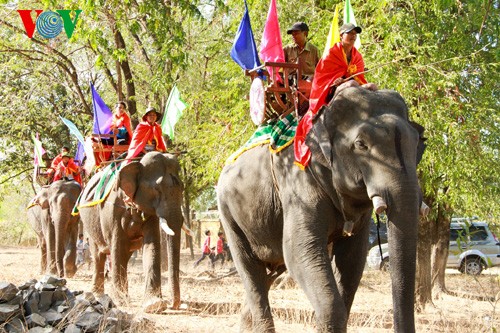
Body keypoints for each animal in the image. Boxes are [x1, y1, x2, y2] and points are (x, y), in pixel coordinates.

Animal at [79, 151, 185, 312]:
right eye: (157, 189)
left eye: (182, 189)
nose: (173, 305)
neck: (137, 163)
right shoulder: (113, 209)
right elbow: (117, 245)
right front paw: (120, 302)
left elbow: (152, 245)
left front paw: (154, 304)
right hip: (90, 223)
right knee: (99, 255)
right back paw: (98, 295)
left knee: (124, 256)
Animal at [217, 86, 424, 332]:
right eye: (361, 145)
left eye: (419, 144)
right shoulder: (298, 182)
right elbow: (298, 250)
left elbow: (353, 259)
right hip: (228, 213)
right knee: (251, 269)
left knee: (269, 272)